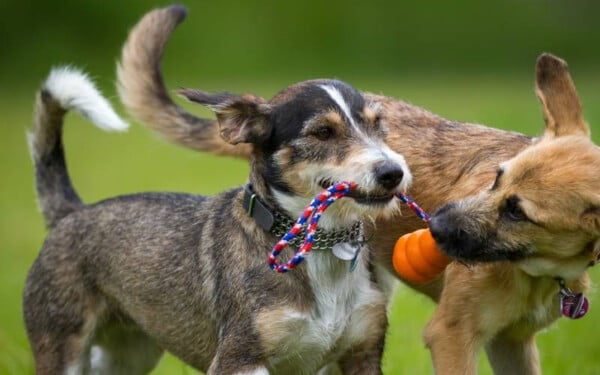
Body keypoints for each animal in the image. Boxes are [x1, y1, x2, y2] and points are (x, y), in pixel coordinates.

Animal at [117, 6, 600, 375]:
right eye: (495, 178)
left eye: (518, 212)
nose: (436, 224)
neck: (540, 272)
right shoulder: (452, 335)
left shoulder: (512, 343)